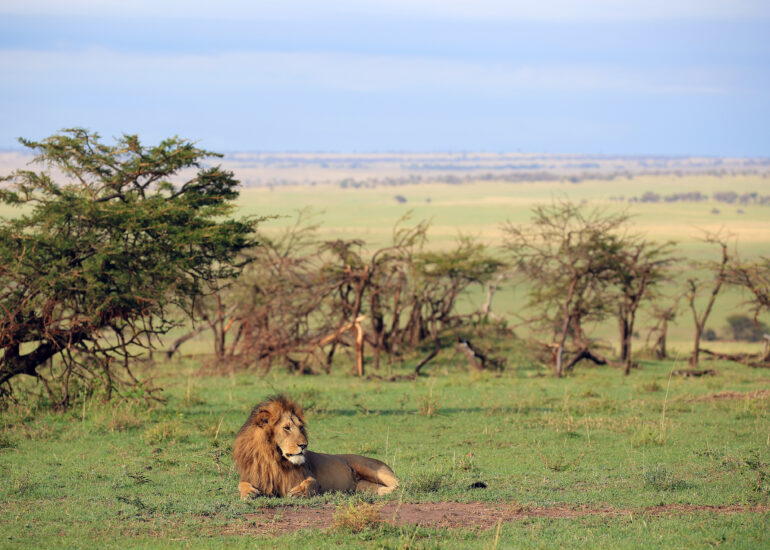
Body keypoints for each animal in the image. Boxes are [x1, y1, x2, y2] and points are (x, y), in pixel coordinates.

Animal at [233, 395, 399, 499]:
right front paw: (248, 493)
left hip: (371, 468)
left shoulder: (310, 477)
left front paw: (298, 492)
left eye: (300, 427)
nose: (304, 445)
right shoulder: (255, 477)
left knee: (399, 484)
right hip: (362, 486)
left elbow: (312, 482)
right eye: (286, 428)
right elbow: (241, 484)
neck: (274, 459)